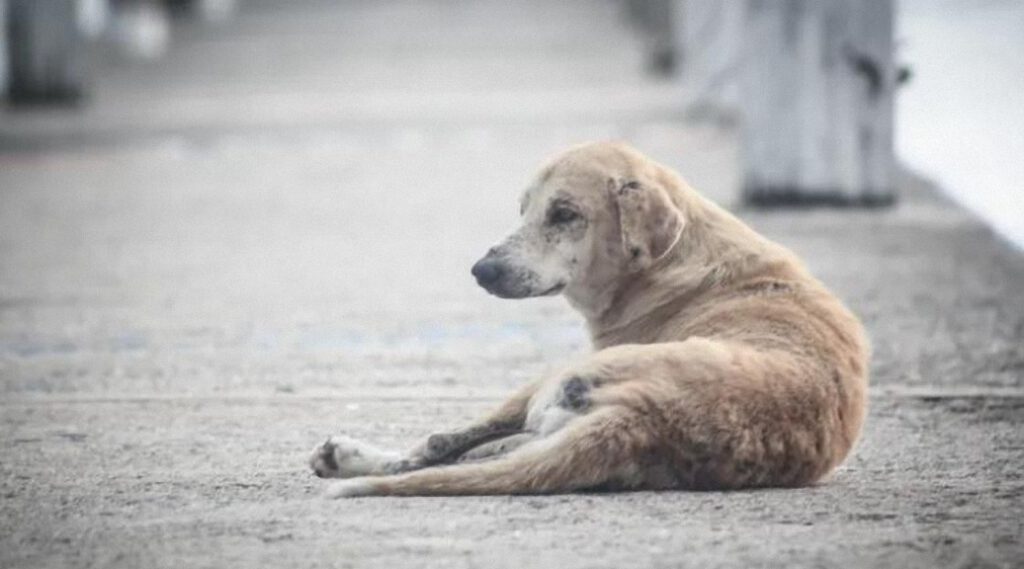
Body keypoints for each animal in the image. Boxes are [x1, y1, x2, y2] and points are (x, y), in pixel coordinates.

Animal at [307, 142, 868, 497]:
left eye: (564, 214)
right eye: (523, 209)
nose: (481, 270)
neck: (672, 258)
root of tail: (645, 417)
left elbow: (443, 441)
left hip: (556, 379)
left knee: (441, 450)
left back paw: (352, 458)